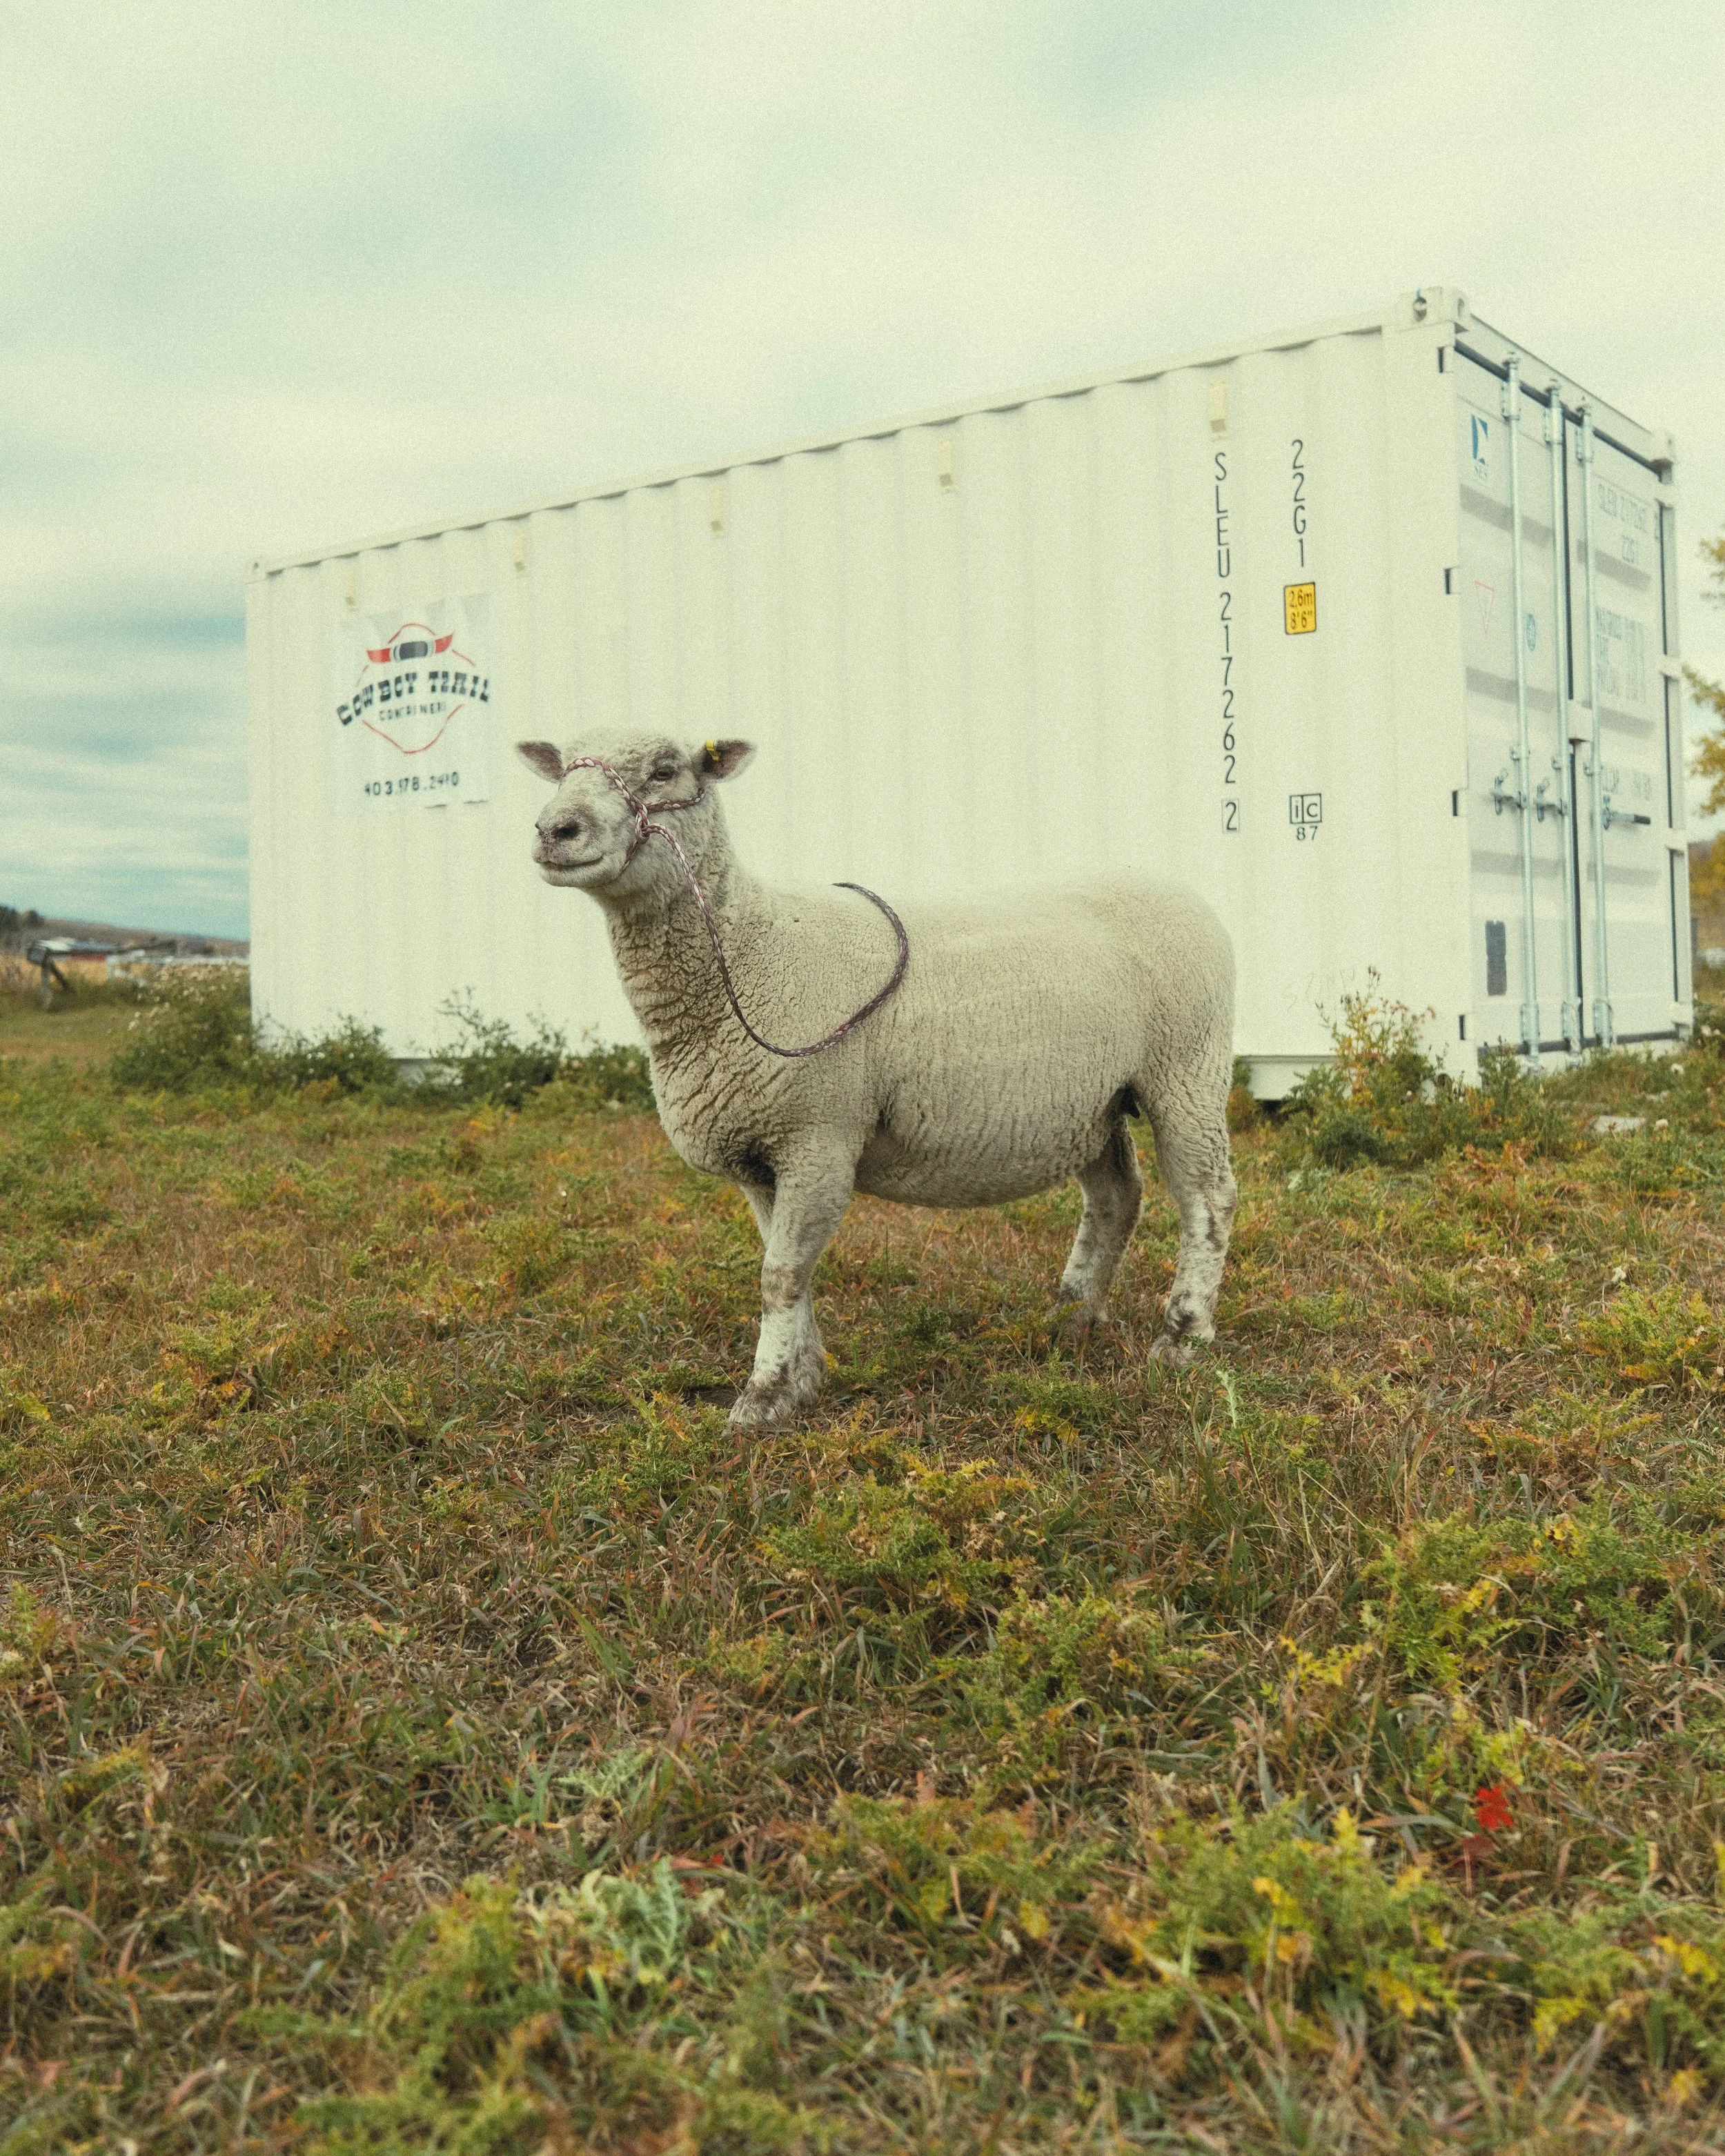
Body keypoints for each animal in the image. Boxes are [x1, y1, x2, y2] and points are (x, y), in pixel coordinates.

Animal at [518, 728, 1236, 1428]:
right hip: (1095, 1101)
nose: (555, 829)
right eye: (562, 766)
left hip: (1188, 1068)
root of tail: (1182, 890)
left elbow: (780, 1275)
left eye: (665, 770)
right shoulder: (761, 1154)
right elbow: (787, 1271)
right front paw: (802, 1382)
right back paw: (1070, 1319)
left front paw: (761, 1398)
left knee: (1208, 1198)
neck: (751, 953)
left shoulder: (817, 1138)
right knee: (1117, 1196)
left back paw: (1182, 1338)